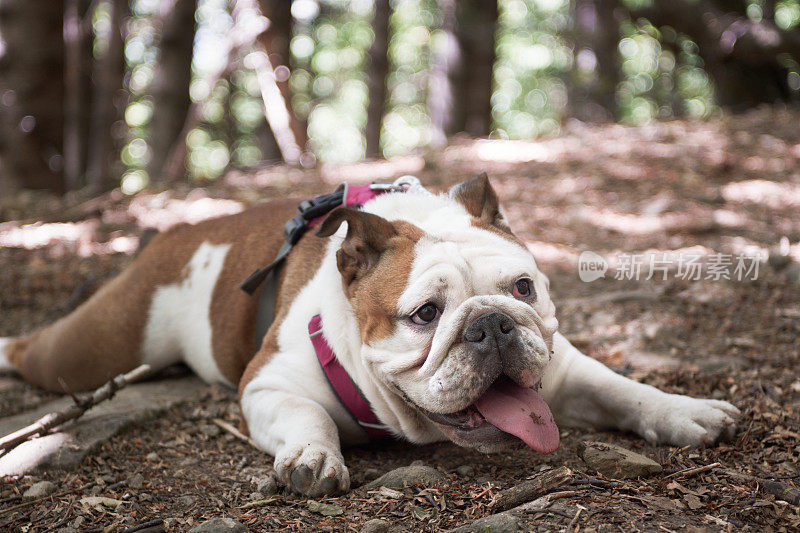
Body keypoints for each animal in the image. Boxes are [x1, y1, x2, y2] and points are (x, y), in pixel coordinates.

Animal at [0, 177, 740, 496]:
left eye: (522, 289)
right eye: (425, 314)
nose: (492, 322)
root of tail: (178, 232)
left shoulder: (560, 368)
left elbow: (620, 388)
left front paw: (684, 410)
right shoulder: (268, 385)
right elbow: (307, 415)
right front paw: (312, 456)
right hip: (91, 349)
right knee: (36, 350)